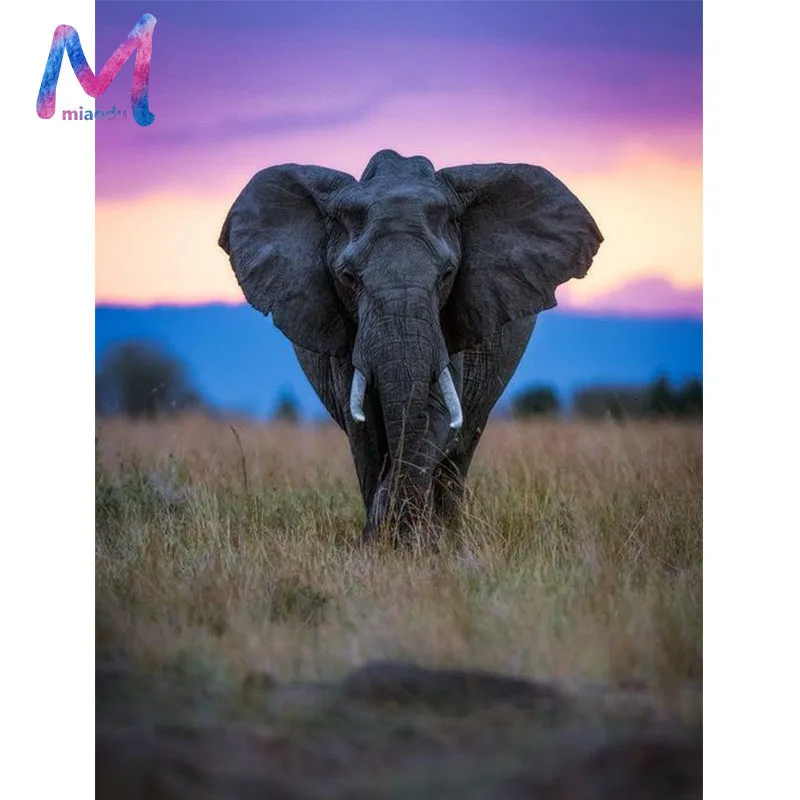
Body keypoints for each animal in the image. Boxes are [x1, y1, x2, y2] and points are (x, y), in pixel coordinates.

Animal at [219, 149, 602, 543]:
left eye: (447, 274)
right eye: (348, 277)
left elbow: (435, 415)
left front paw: (407, 541)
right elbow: (366, 426)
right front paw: (380, 541)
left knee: (461, 448)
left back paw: (448, 536)